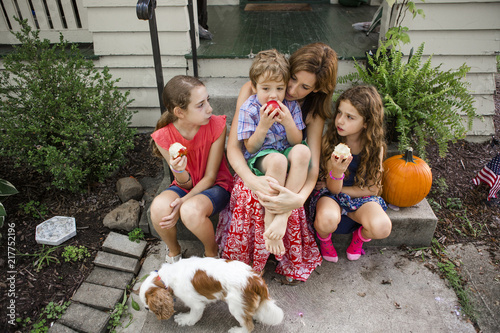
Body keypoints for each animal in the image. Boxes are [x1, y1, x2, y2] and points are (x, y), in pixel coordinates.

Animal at [139, 255, 284, 330]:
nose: (146, 309)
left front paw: (185, 319)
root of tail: (255, 279)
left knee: (248, 326)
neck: (166, 278)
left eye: (147, 304)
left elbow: (194, 315)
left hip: (236, 306)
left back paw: (238, 330)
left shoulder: (196, 304)